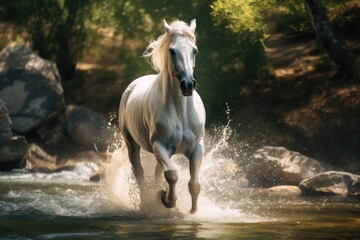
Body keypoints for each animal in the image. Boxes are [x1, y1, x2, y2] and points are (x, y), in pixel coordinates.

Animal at [119, 19, 205, 214]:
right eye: (172, 51)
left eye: (195, 50)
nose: (188, 85)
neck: (181, 112)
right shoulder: (160, 146)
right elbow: (172, 175)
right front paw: (167, 200)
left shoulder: (197, 148)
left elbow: (194, 184)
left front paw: (193, 212)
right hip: (132, 145)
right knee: (140, 173)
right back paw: (145, 204)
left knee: (158, 173)